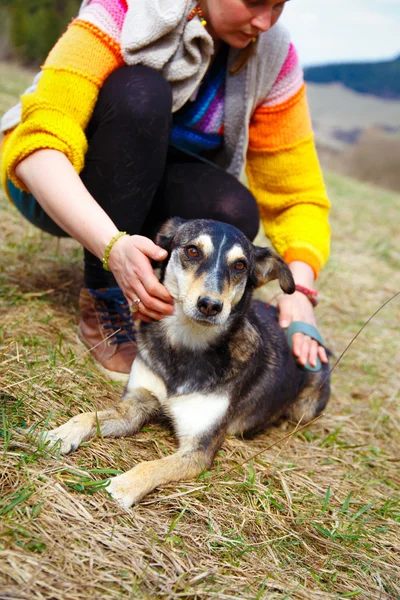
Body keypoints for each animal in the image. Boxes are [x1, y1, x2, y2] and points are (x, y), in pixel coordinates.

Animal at [44, 218, 332, 504]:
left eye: (240, 265)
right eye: (192, 251)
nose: (210, 305)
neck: (187, 344)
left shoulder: (199, 449)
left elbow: (152, 466)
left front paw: (122, 486)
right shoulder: (137, 402)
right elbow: (88, 415)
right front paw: (60, 434)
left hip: (306, 406)